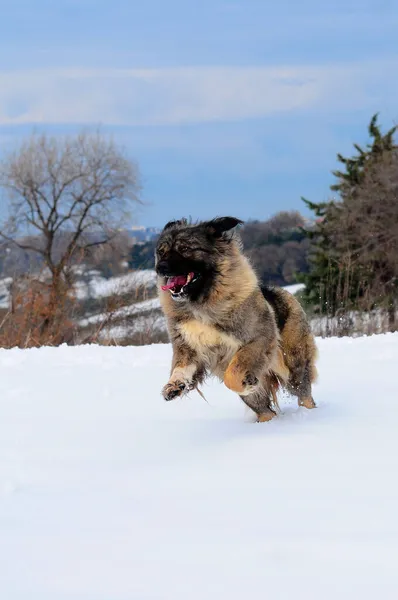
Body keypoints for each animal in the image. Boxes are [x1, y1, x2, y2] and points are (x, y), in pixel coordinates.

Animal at [155, 217, 318, 422]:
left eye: (184, 248)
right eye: (161, 252)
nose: (160, 268)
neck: (200, 303)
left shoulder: (258, 340)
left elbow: (232, 375)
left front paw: (246, 383)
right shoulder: (188, 348)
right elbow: (181, 367)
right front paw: (175, 385)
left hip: (294, 365)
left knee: (304, 393)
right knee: (265, 410)